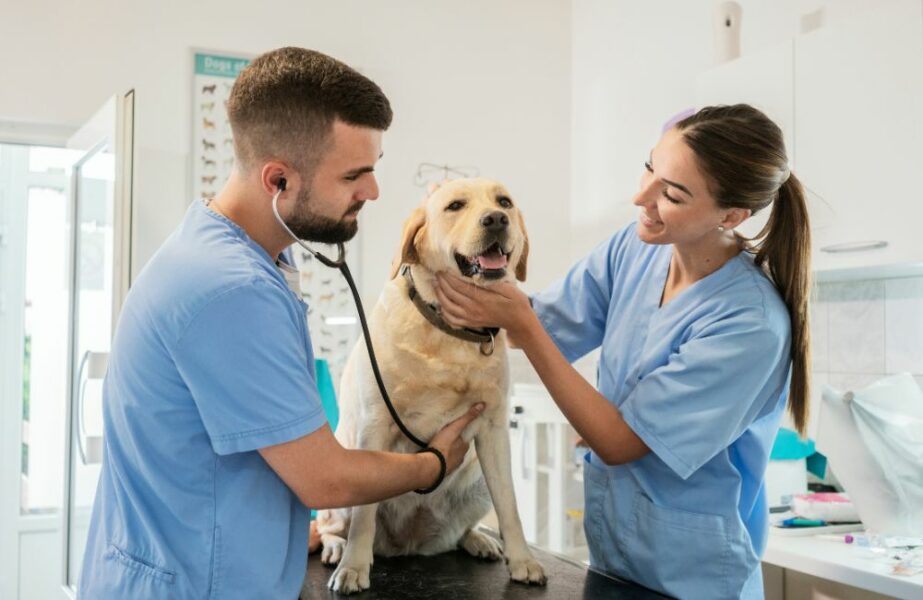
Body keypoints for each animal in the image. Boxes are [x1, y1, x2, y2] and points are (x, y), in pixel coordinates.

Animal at [318, 176, 548, 592]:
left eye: (504, 201)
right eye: (455, 205)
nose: (496, 219)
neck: (450, 333)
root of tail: (403, 545)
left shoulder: (494, 429)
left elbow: (510, 504)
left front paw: (523, 559)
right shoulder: (375, 424)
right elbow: (363, 517)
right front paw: (353, 566)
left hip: (475, 483)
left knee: (461, 529)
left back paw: (478, 540)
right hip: (338, 480)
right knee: (334, 523)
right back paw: (334, 547)